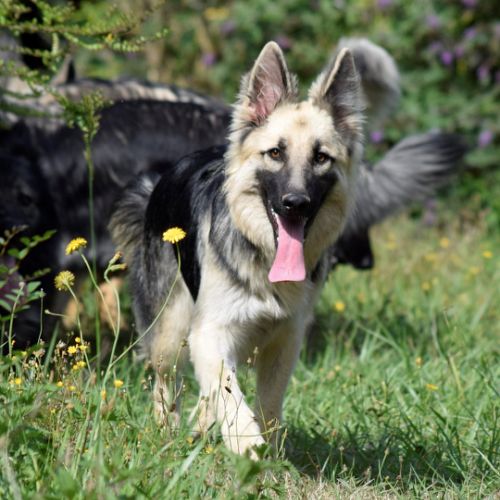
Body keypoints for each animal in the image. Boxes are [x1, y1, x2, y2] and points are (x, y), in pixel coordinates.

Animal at [109, 41, 465, 457]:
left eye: (321, 157)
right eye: (275, 153)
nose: (296, 203)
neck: (265, 260)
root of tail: (160, 180)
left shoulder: (285, 340)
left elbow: (267, 402)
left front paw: (268, 449)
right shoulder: (211, 333)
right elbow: (229, 394)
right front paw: (247, 446)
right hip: (171, 332)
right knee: (167, 384)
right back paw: (169, 435)